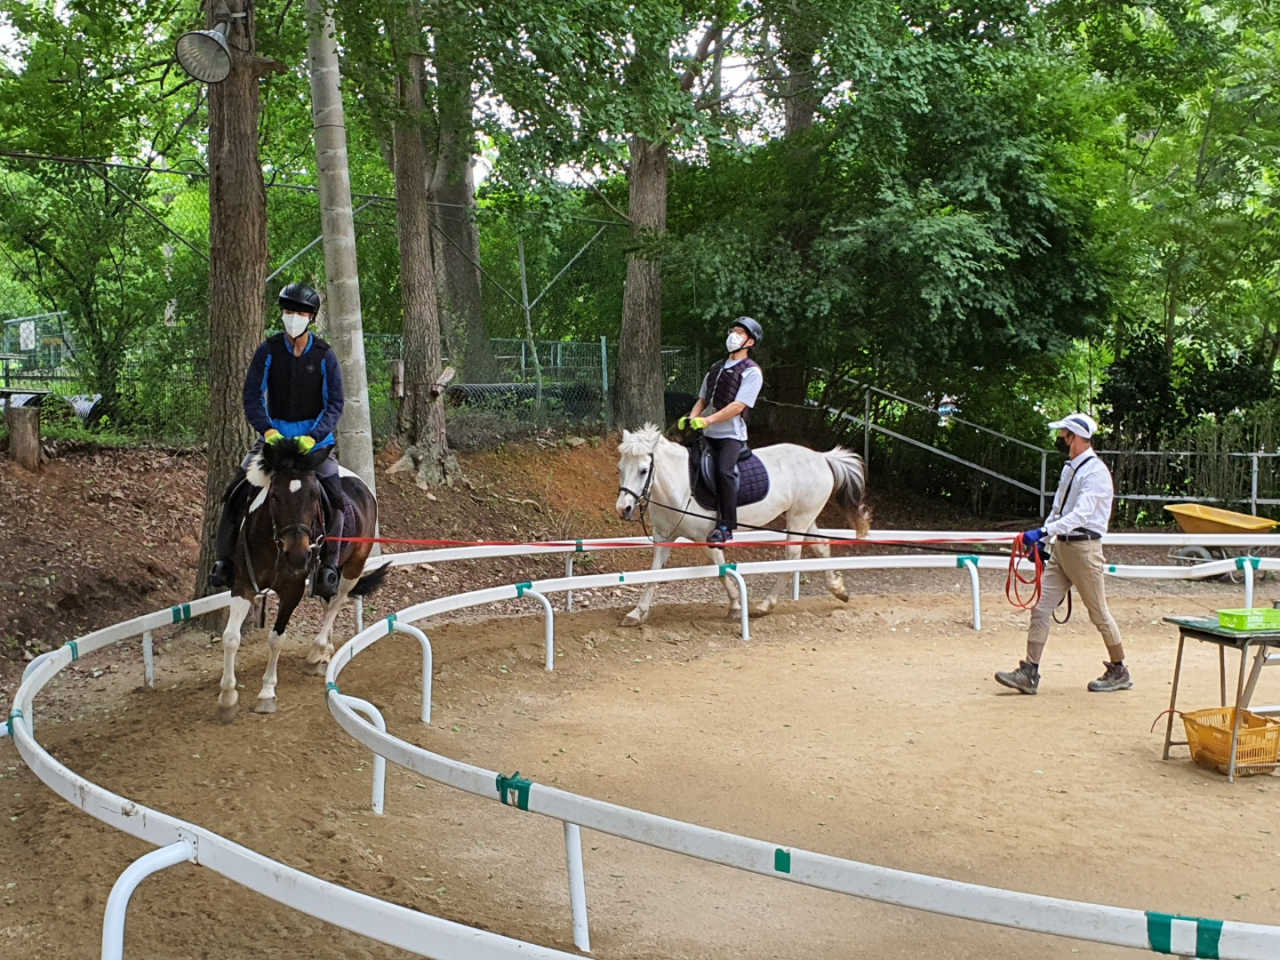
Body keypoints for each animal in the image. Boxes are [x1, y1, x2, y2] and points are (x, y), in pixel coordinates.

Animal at [217, 442, 386, 721]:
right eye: (275, 495)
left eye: (315, 496)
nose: (297, 556)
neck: (274, 546)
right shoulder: (243, 584)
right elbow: (231, 637)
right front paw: (228, 698)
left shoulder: (292, 590)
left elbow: (276, 638)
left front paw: (266, 693)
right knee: (328, 600)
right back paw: (325, 654)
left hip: (354, 566)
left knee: (337, 601)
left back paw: (316, 653)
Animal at [609, 427, 870, 624]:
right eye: (620, 469)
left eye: (643, 470)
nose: (624, 508)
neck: (681, 485)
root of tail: (822, 457)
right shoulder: (664, 536)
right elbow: (653, 574)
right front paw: (637, 613)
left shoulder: (707, 538)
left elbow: (722, 570)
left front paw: (735, 606)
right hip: (804, 517)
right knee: (821, 547)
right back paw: (838, 590)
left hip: (799, 517)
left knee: (792, 558)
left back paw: (764, 606)